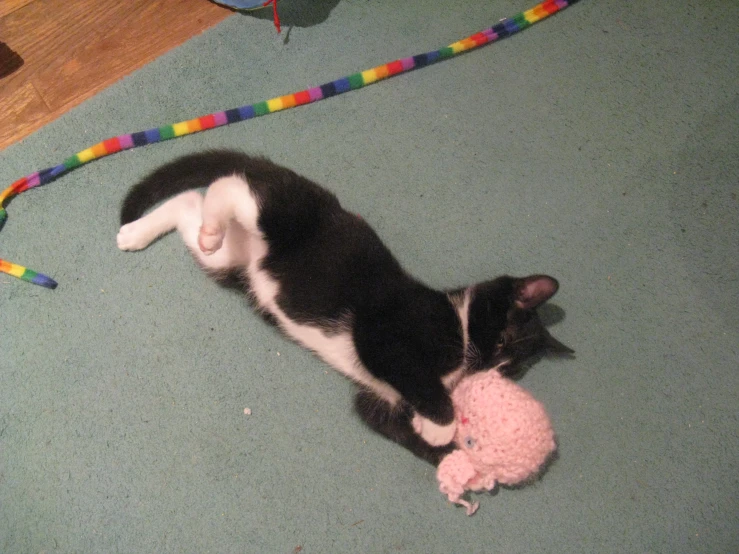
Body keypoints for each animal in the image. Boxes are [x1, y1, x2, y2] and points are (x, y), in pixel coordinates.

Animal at [117, 150, 572, 462]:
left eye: (511, 370)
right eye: (504, 341)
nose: (488, 368)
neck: (455, 320)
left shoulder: (378, 396)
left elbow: (389, 420)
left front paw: (450, 455)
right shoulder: (382, 335)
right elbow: (422, 384)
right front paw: (442, 429)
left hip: (232, 258)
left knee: (188, 206)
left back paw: (138, 233)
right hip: (281, 216)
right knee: (230, 185)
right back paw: (206, 215)